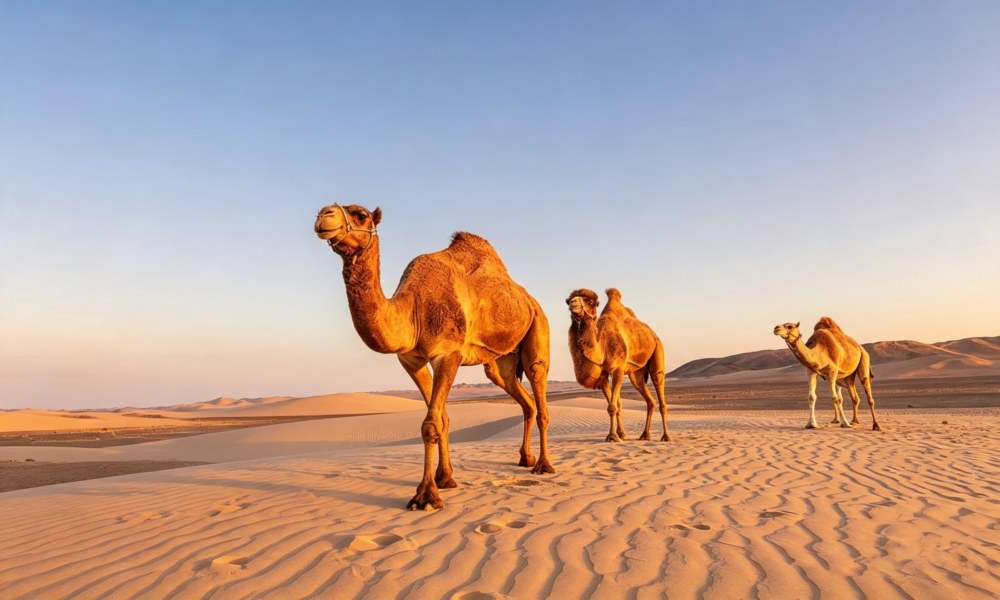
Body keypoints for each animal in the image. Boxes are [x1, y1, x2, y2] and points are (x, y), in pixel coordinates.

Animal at [314, 204, 554, 510]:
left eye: (361, 215)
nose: (324, 215)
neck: (412, 309)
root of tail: (530, 299)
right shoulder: (411, 361)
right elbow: (443, 419)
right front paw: (445, 478)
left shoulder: (447, 353)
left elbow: (431, 423)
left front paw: (426, 496)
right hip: (500, 360)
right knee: (520, 396)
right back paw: (525, 458)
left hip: (539, 325)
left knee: (539, 384)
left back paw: (544, 465)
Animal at [566, 288, 669, 442]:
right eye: (568, 301)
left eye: (589, 302)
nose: (573, 303)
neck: (602, 345)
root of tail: (653, 334)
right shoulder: (603, 376)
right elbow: (616, 405)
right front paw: (621, 434)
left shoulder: (617, 370)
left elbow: (612, 407)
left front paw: (612, 437)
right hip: (636, 373)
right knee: (647, 397)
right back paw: (644, 435)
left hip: (658, 349)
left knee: (659, 387)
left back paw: (666, 436)